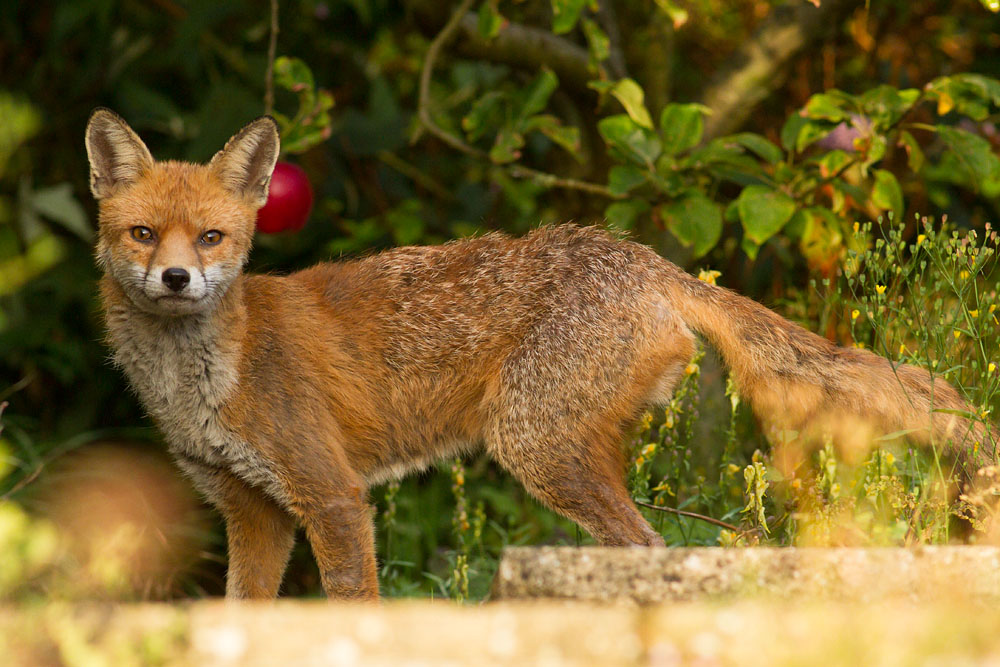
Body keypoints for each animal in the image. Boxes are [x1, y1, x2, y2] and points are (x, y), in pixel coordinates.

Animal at [86, 108, 993, 600]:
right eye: (143, 234)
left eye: (212, 237)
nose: (176, 277)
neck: (205, 380)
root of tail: (643, 258)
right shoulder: (254, 513)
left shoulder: (332, 496)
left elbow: (356, 599)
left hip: (535, 444)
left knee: (654, 552)